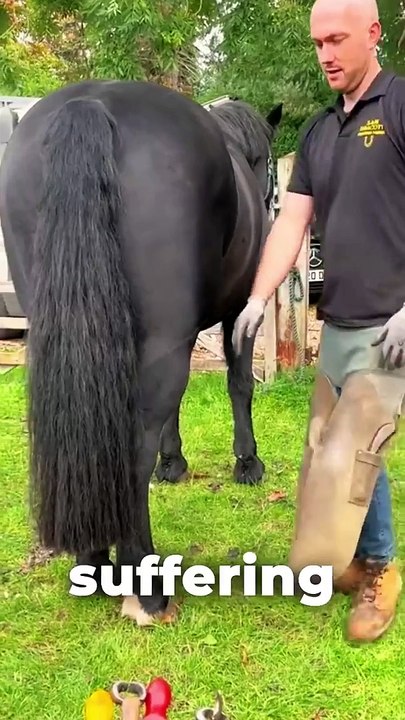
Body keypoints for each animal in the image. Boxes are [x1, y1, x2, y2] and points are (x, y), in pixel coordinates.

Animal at [0, 78, 282, 625]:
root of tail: (88, 105)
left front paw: (173, 465)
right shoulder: (238, 312)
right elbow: (238, 384)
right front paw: (247, 463)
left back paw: (92, 563)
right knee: (134, 444)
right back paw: (145, 586)